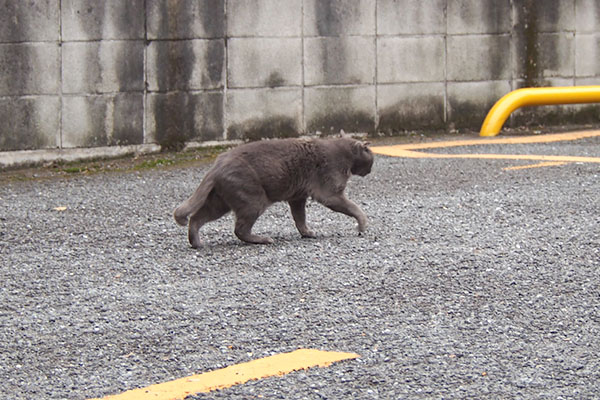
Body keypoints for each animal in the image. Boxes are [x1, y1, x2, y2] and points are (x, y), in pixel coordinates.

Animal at [171, 139, 372, 248]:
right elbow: (353, 207)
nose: (370, 170)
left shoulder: (297, 197)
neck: (345, 156)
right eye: (371, 160)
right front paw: (362, 225)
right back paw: (263, 239)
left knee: (196, 217)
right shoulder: (330, 193)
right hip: (253, 199)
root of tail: (216, 165)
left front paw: (307, 232)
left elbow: (300, 218)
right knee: (239, 229)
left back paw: (196, 242)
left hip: (220, 202)